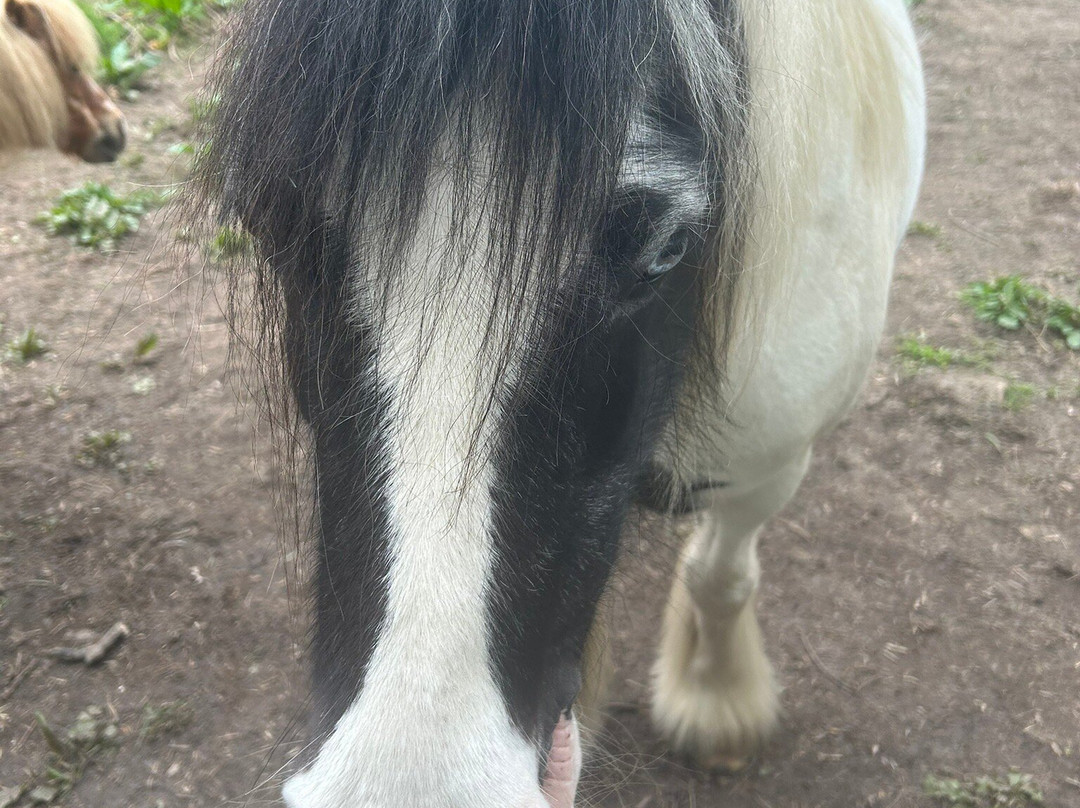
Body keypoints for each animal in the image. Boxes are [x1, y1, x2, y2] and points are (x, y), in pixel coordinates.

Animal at [198, 0, 925, 805]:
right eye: (264, 219)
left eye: (667, 247)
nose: (409, 784)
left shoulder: (771, 463)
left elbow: (721, 574)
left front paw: (717, 702)